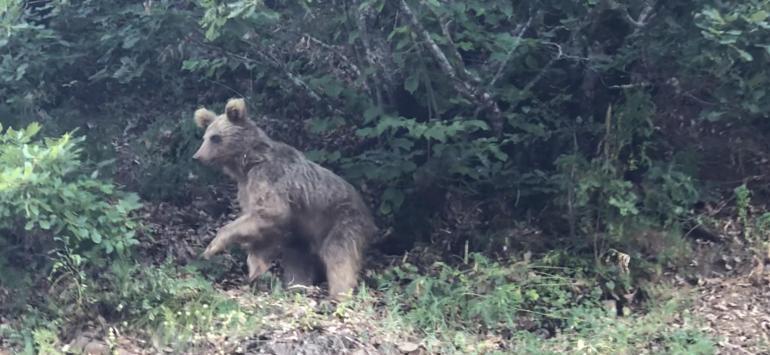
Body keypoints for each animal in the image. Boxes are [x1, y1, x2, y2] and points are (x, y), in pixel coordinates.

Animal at [194, 98, 376, 300]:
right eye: (205, 137)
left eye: (215, 137)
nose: (197, 156)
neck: (247, 163)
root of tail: (369, 214)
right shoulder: (247, 189)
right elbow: (259, 224)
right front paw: (255, 269)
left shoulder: (269, 179)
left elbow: (271, 212)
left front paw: (212, 247)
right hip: (304, 233)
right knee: (298, 258)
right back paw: (296, 286)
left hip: (343, 220)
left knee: (338, 255)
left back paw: (337, 295)